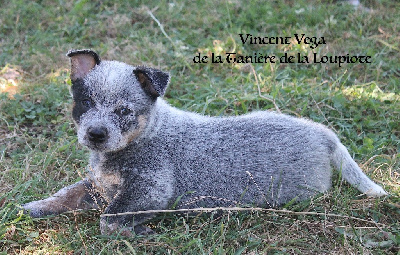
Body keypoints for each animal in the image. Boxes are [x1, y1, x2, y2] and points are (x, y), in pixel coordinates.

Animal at [22, 49, 388, 235]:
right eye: (85, 102)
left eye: (123, 110)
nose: (95, 134)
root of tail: (323, 134)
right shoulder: (98, 184)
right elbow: (66, 194)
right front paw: (36, 207)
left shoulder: (151, 189)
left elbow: (108, 219)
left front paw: (135, 229)